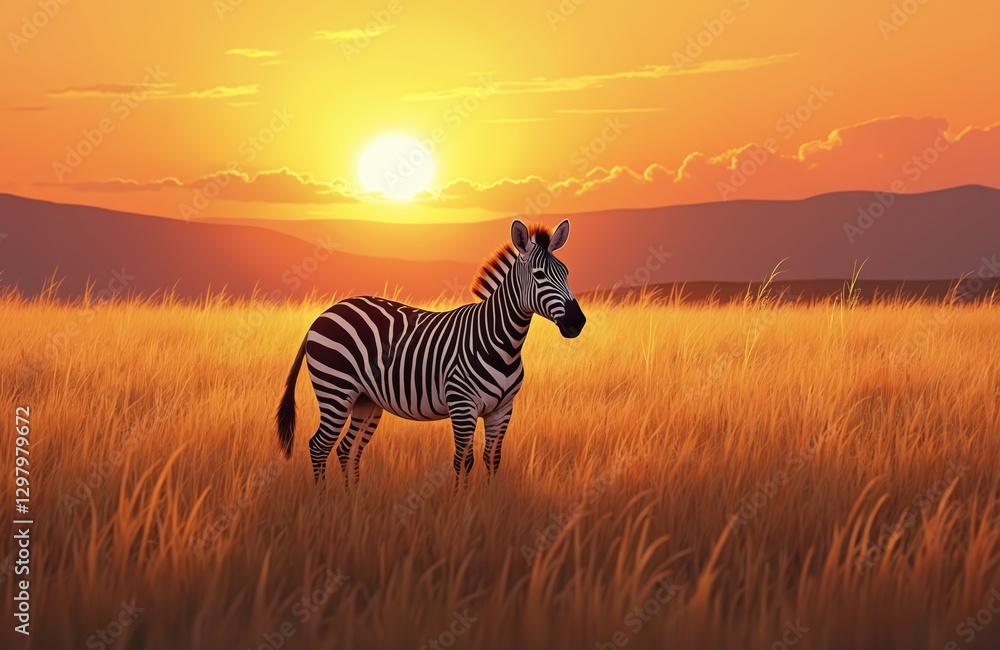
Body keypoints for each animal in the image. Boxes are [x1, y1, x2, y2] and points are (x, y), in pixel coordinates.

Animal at [275, 219, 586, 487]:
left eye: (567, 273)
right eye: (540, 275)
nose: (578, 322)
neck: (502, 343)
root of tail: (323, 314)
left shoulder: (502, 410)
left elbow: (493, 459)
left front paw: (489, 504)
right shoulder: (462, 405)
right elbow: (464, 461)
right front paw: (461, 508)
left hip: (365, 400)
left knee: (346, 449)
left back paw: (351, 500)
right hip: (336, 390)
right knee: (318, 446)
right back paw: (324, 501)